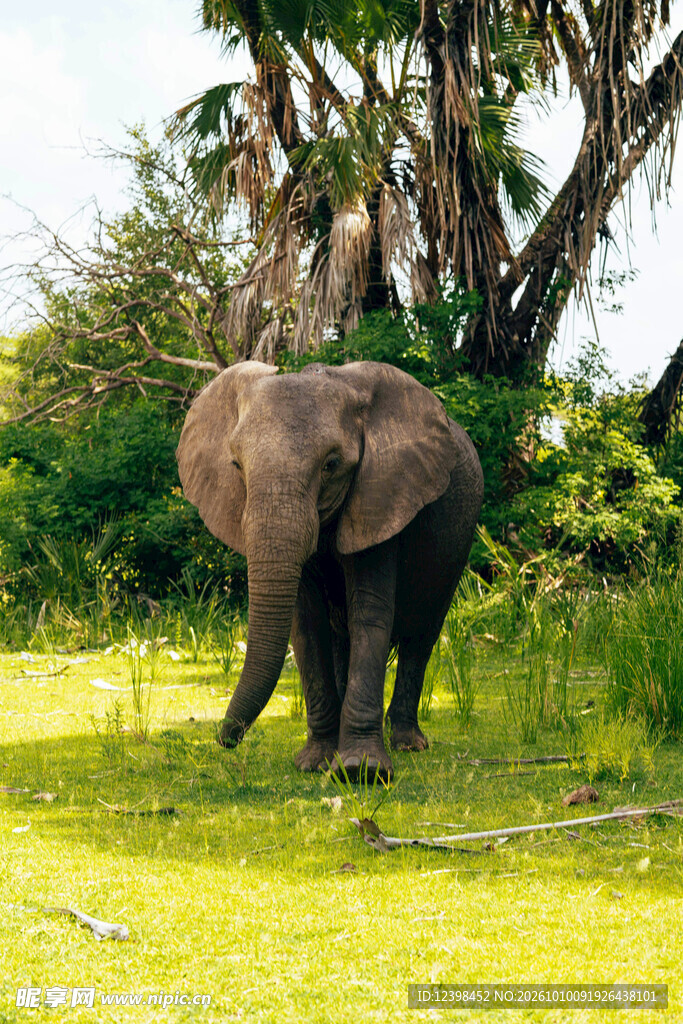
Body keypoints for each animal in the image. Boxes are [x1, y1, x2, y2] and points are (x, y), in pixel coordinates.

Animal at [176, 360, 483, 779]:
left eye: (331, 465)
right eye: (236, 465)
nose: (226, 739)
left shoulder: (381, 494)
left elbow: (369, 614)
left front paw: (361, 770)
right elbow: (307, 623)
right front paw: (315, 763)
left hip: (455, 546)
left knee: (420, 637)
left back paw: (408, 744)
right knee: (343, 640)